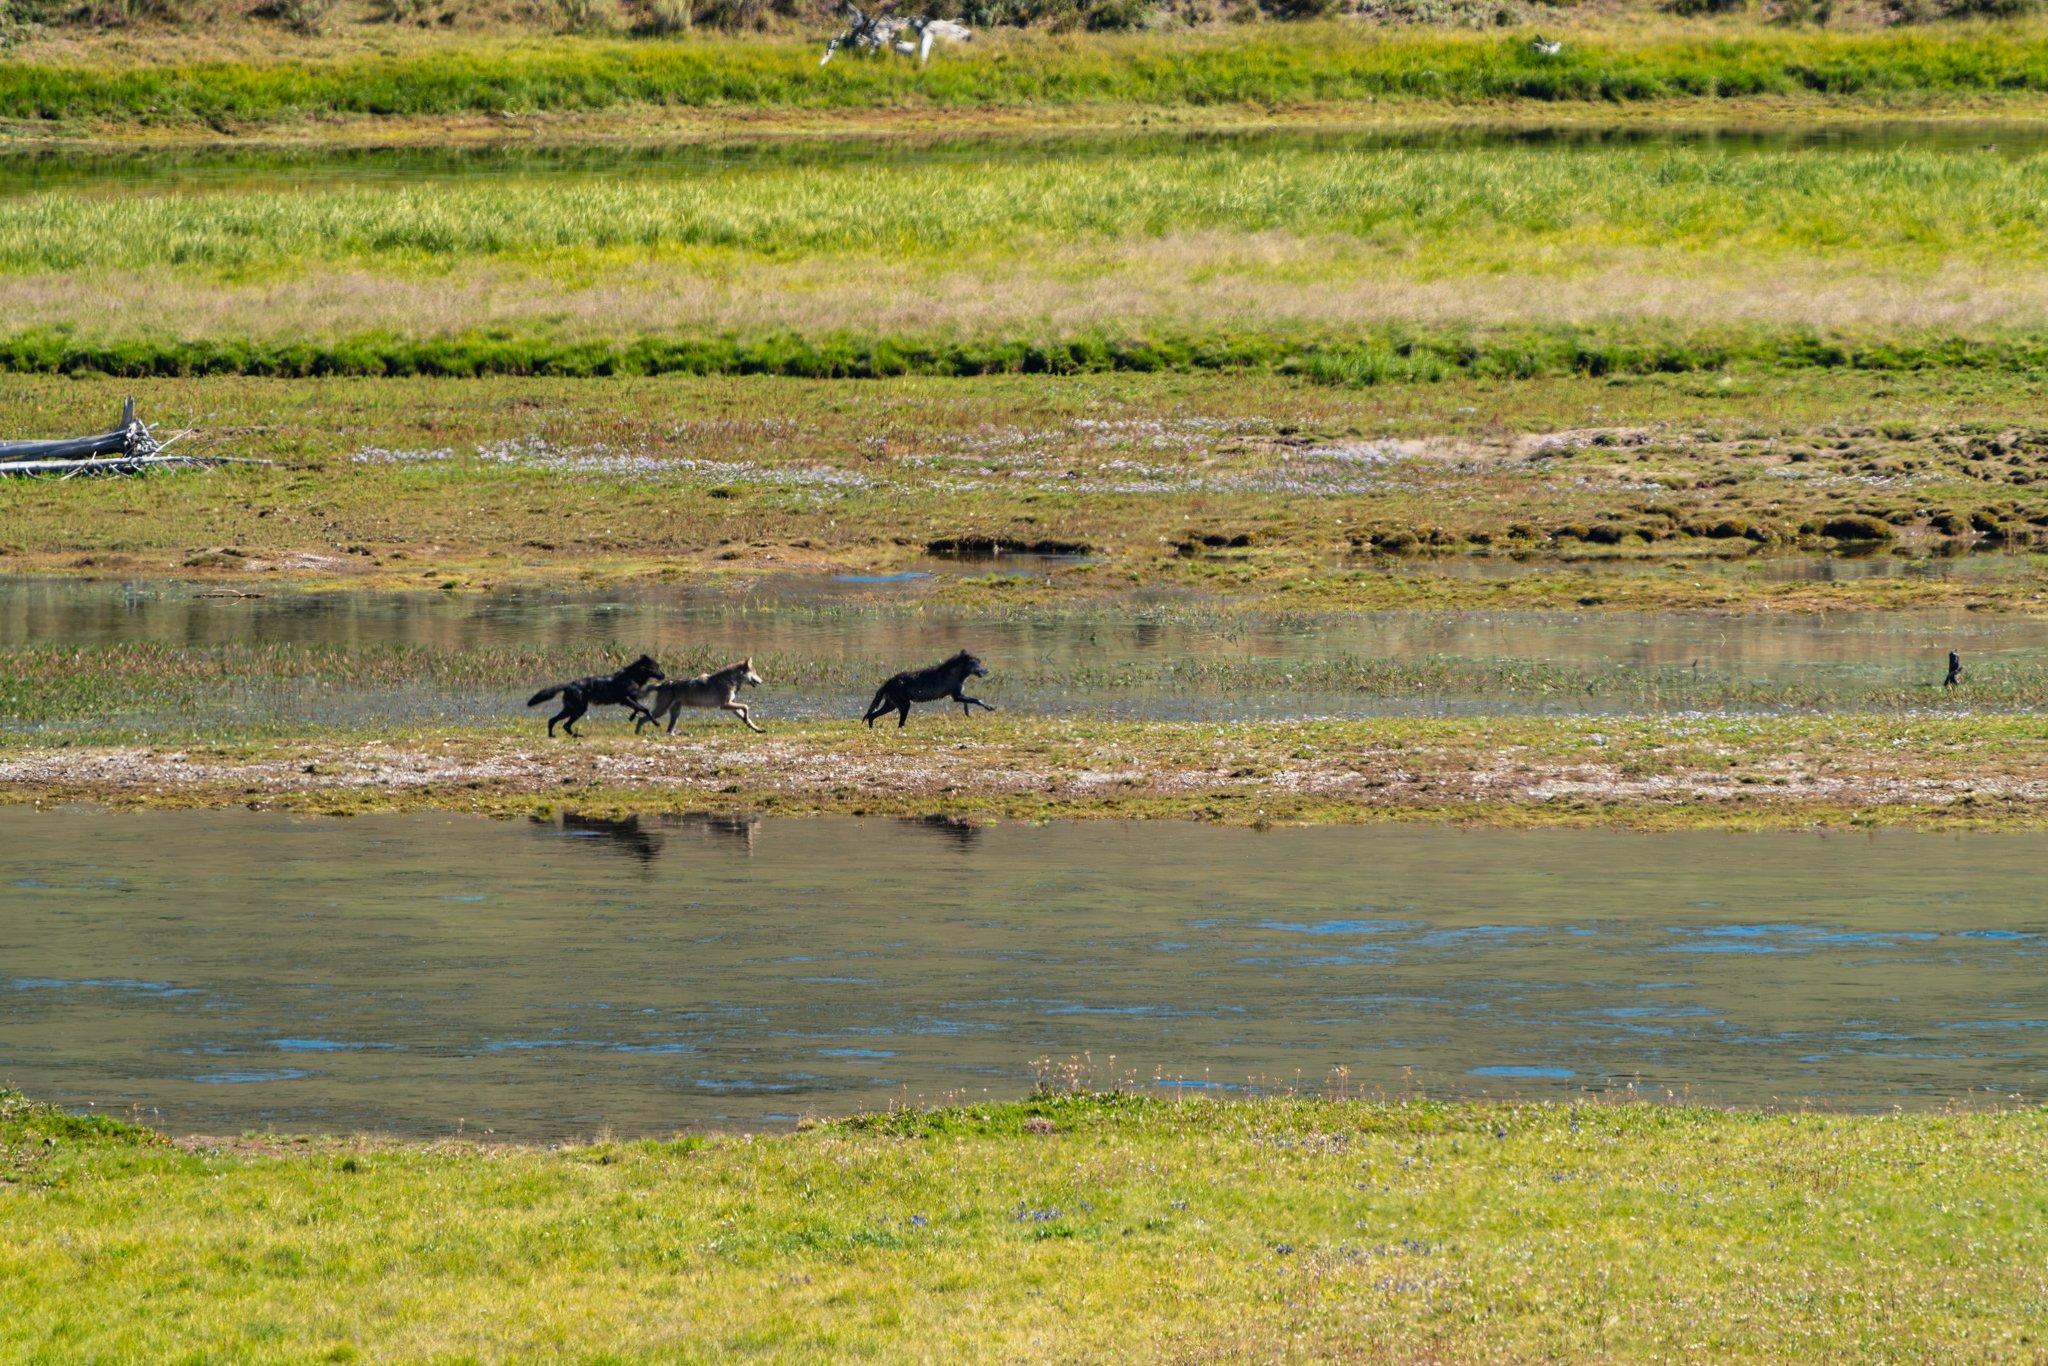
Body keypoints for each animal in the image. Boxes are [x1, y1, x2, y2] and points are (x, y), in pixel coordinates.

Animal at [525, 654, 664, 737]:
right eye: (656, 668)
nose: (664, 675)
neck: (632, 676)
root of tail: (568, 685)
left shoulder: (629, 699)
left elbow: (638, 708)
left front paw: (631, 717)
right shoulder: (626, 699)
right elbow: (645, 709)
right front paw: (656, 722)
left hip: (571, 709)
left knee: (555, 721)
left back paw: (556, 735)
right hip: (578, 709)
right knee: (564, 724)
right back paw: (574, 735)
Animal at [635, 658, 767, 735]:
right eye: (755, 673)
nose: (762, 681)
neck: (729, 680)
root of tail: (662, 684)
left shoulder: (731, 705)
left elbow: (746, 714)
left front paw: (756, 728)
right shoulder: (725, 705)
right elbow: (746, 706)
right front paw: (746, 719)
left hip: (675, 714)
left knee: (668, 730)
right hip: (661, 711)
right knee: (641, 719)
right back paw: (637, 733)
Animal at [862, 650, 994, 729]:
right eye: (976, 663)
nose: (987, 671)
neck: (956, 672)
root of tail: (888, 683)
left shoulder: (958, 694)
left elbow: (968, 702)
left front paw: (967, 713)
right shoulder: (956, 696)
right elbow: (977, 700)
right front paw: (989, 707)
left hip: (891, 705)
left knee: (871, 716)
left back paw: (871, 729)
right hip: (904, 705)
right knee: (898, 723)